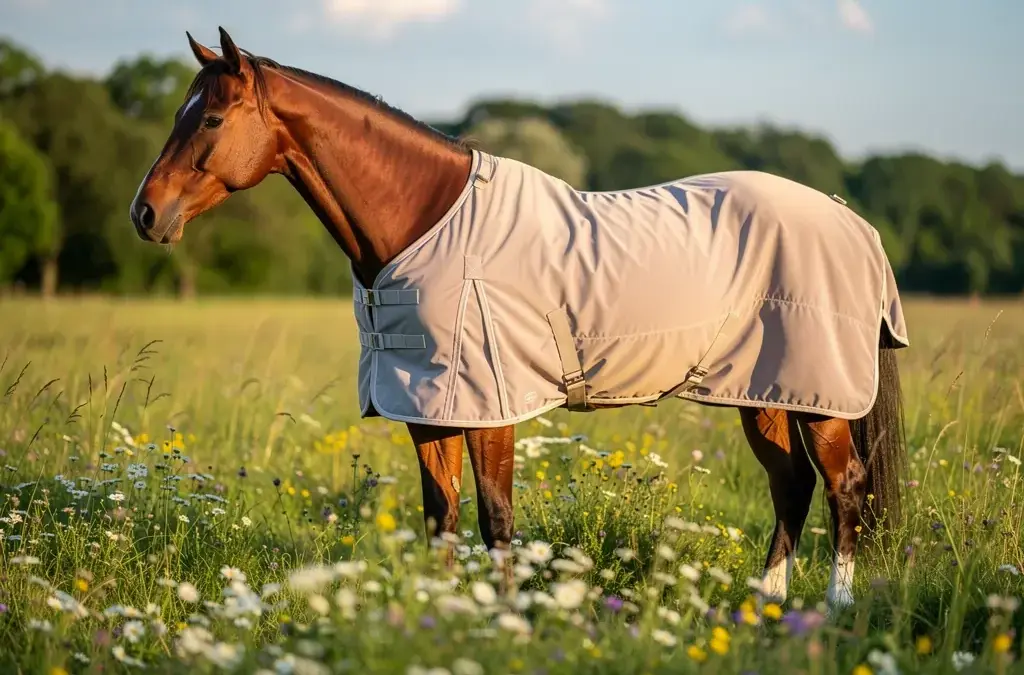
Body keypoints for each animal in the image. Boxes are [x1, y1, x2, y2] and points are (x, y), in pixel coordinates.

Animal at [129, 27, 909, 612]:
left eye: (210, 118)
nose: (145, 213)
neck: (427, 220)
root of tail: (849, 218)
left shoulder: (491, 405)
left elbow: (496, 520)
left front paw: (503, 622)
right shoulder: (429, 408)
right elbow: (440, 520)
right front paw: (440, 618)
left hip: (820, 398)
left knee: (845, 487)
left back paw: (834, 607)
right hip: (765, 393)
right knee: (792, 486)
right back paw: (767, 604)